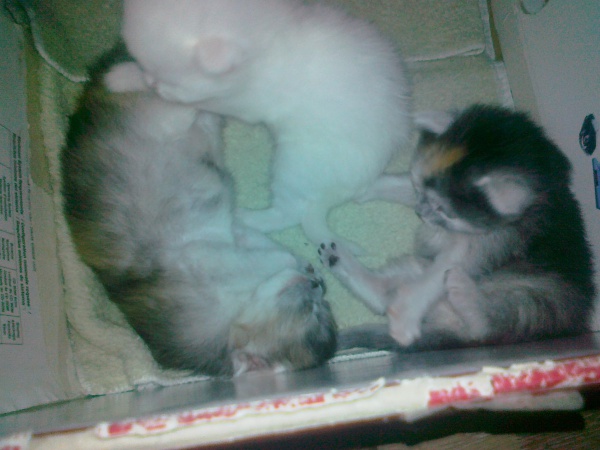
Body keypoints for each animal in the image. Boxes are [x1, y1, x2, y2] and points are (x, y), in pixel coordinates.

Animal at [61, 46, 337, 377]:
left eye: (322, 307)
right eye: (312, 312)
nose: (318, 284)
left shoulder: (232, 236)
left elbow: (257, 240)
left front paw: (303, 263)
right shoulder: (204, 257)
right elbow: (273, 257)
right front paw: (298, 263)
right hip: (179, 105)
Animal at [121, 0, 412, 252]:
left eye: (171, 81)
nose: (153, 83)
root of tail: (340, 192)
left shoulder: (243, 104)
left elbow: (199, 103)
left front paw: (131, 80)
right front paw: (126, 73)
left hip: (295, 164)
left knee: (289, 213)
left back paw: (243, 217)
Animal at [319, 105, 595, 351]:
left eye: (445, 211)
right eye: (420, 191)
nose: (419, 214)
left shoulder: (493, 241)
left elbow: (439, 273)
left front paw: (405, 316)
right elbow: (401, 187)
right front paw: (362, 187)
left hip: (538, 301)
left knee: (492, 322)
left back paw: (464, 293)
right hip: (418, 267)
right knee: (387, 293)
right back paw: (341, 261)